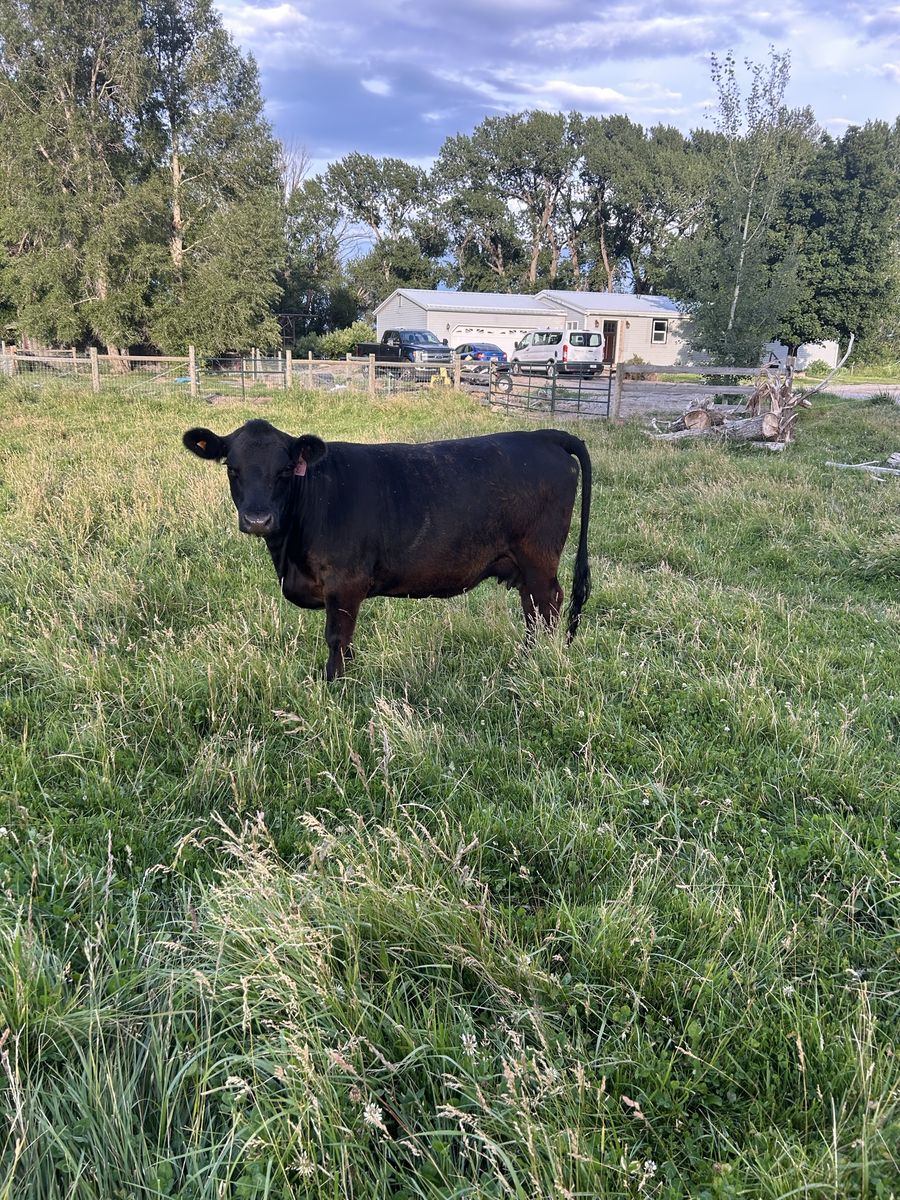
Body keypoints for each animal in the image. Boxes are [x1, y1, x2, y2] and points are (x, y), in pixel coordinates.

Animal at [182, 419, 592, 680]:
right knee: (533, 610)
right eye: (232, 469)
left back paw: (536, 661)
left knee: (547, 606)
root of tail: (542, 436)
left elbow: (337, 638)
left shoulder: (345, 583)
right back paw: (525, 656)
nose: (257, 519)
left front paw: (333, 685)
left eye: (284, 470)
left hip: (538, 558)